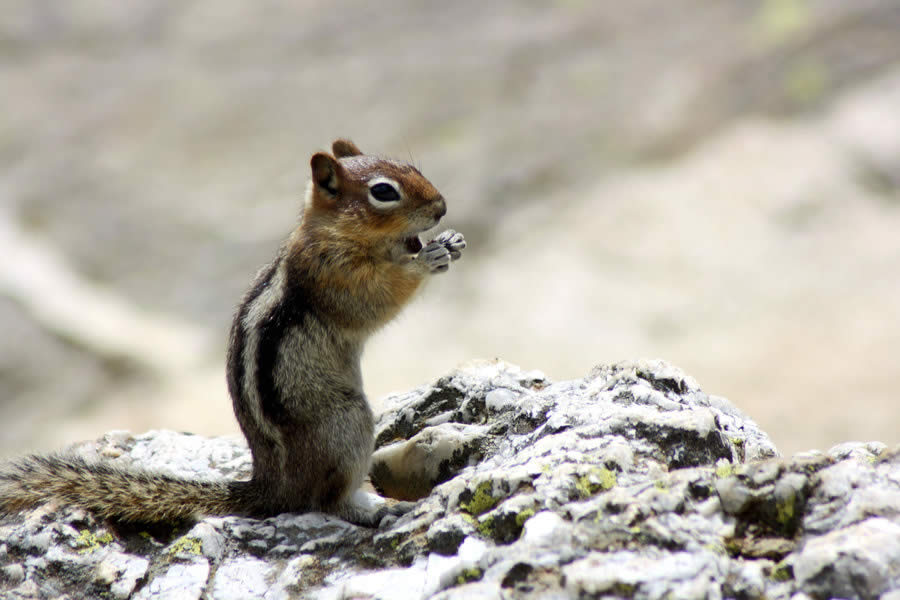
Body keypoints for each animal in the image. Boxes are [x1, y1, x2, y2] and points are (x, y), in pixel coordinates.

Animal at [0, 139, 464, 524]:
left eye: (411, 166)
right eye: (384, 192)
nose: (441, 207)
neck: (334, 232)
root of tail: (272, 486)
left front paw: (451, 241)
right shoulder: (335, 277)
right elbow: (378, 300)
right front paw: (427, 260)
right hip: (345, 423)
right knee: (325, 501)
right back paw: (373, 508)